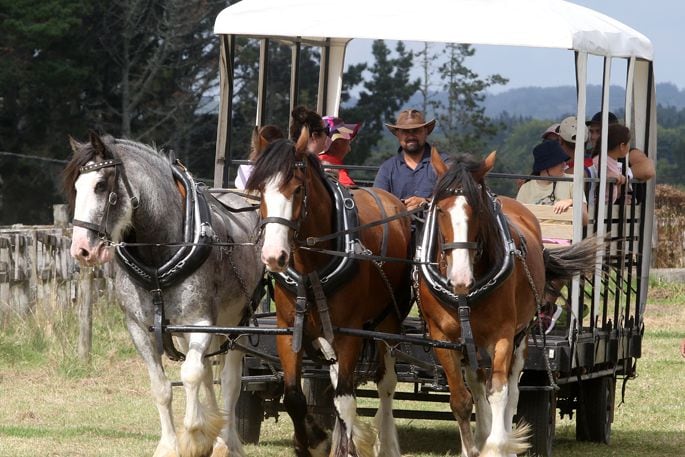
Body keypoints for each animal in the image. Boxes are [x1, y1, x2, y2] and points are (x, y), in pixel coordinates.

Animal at [64, 133, 264, 456]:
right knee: (207, 372)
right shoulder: (139, 327)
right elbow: (162, 386)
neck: (159, 251)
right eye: (76, 187)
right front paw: (172, 445)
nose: (81, 250)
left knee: (231, 380)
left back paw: (228, 441)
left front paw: (195, 436)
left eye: (101, 185)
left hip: (238, 321)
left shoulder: (201, 323)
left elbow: (190, 375)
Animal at [244, 130, 412, 454]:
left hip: (387, 324)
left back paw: (386, 443)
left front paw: (341, 447)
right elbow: (294, 397)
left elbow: (346, 402)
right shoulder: (289, 330)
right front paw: (312, 442)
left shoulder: (349, 334)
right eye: (259, 192)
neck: (311, 266)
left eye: (297, 189)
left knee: (386, 385)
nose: (273, 256)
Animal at [414, 151, 596, 456]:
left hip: (521, 335)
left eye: (478, 210)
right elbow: (461, 398)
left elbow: (499, 391)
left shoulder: (503, 335)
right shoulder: (444, 339)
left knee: (511, 389)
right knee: (476, 384)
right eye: (439, 210)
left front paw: (497, 445)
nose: (460, 277)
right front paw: (471, 447)